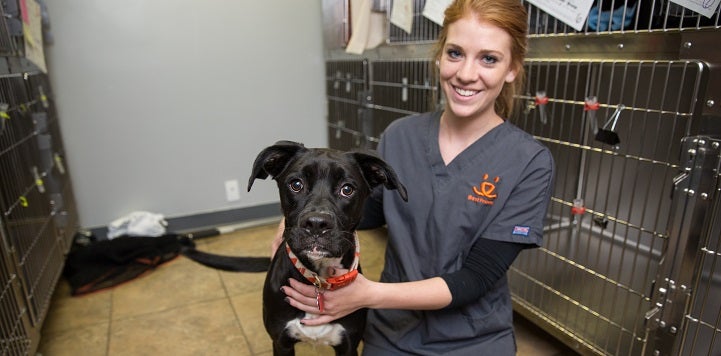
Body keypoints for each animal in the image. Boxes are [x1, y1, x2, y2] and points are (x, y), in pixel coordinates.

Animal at [180, 142, 404, 356]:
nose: (316, 224)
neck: (317, 279)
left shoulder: (348, 346)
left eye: (347, 189)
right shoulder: (281, 343)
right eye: (296, 184)